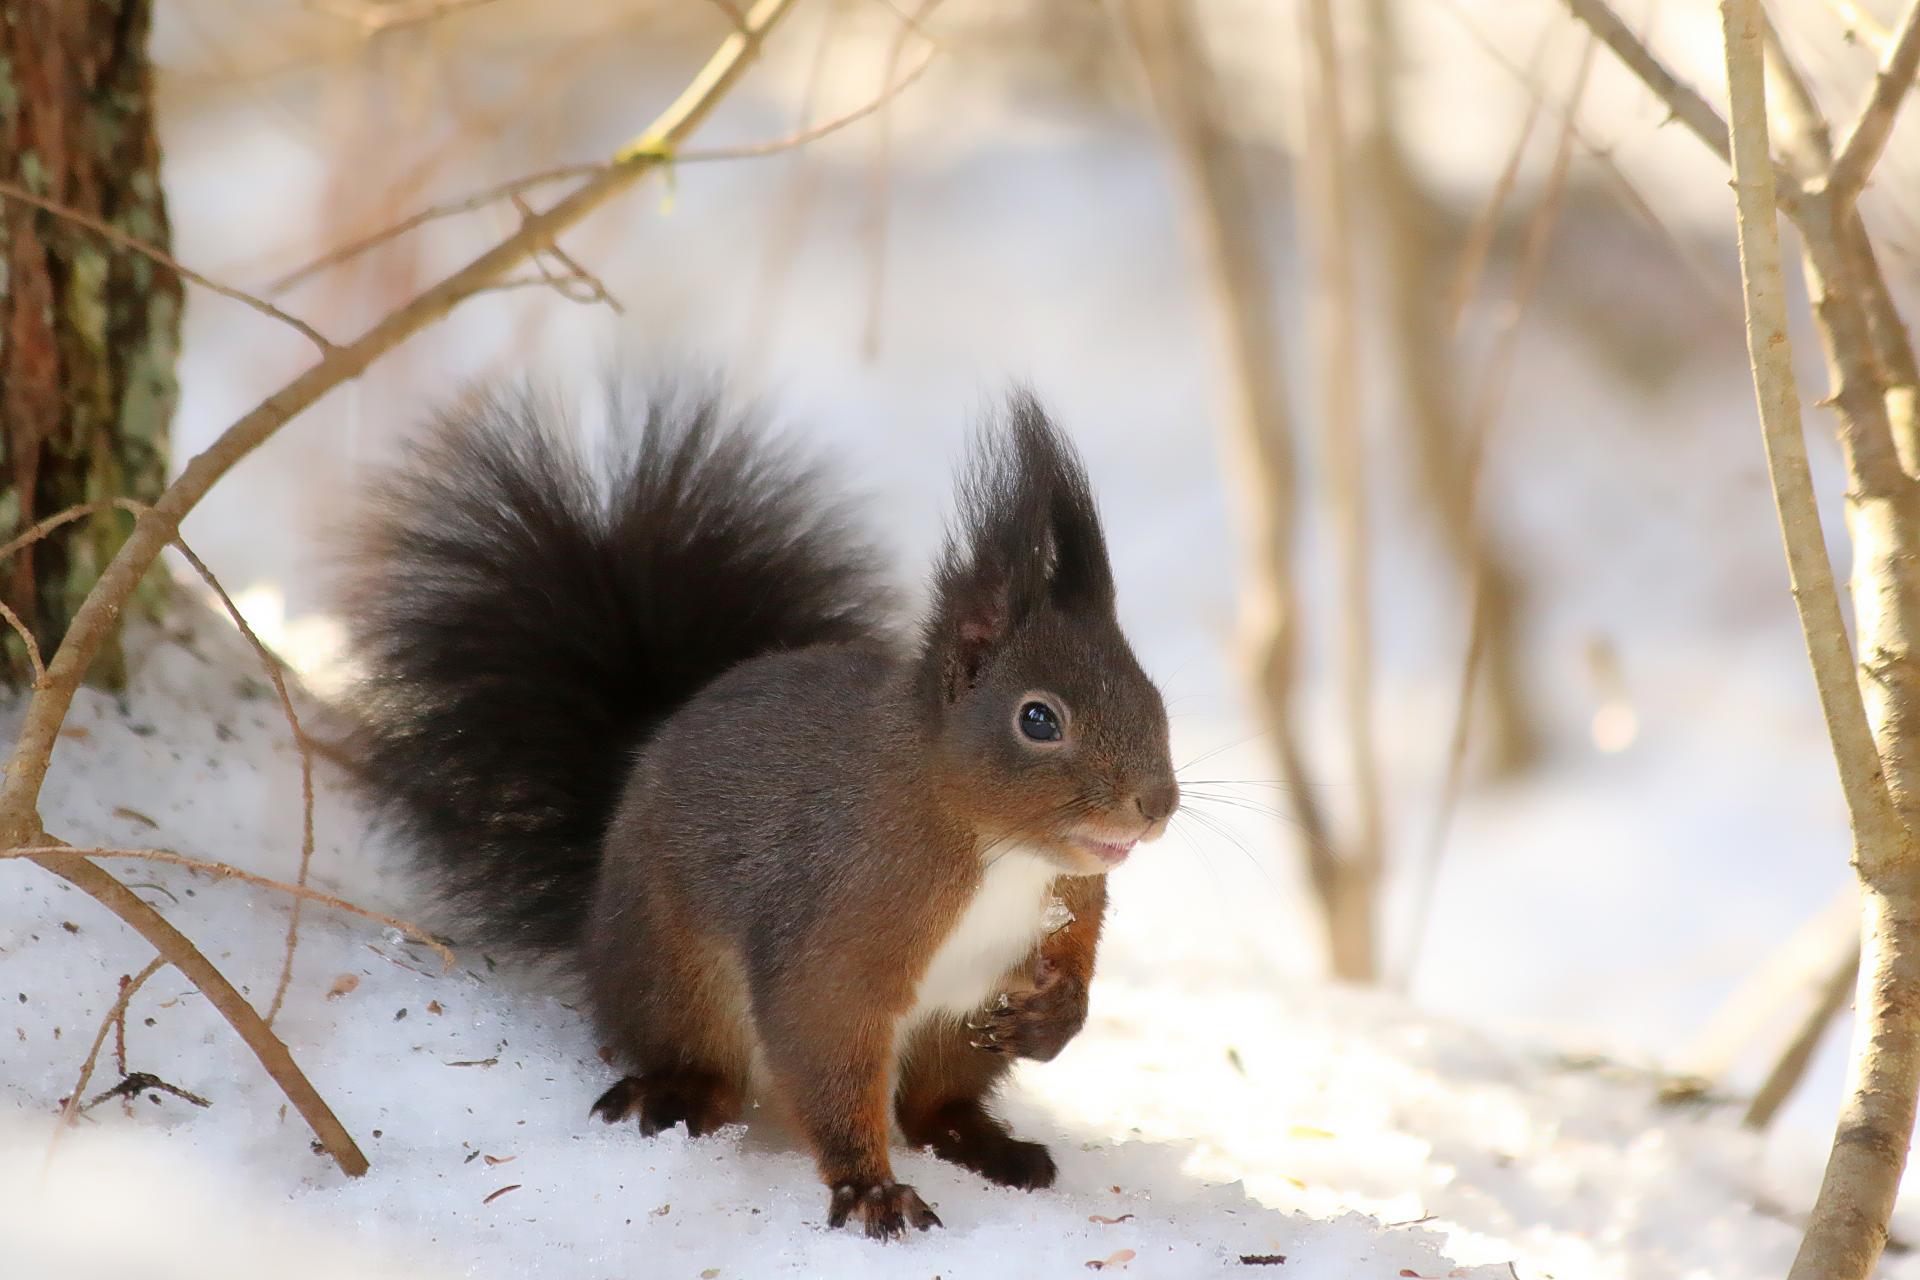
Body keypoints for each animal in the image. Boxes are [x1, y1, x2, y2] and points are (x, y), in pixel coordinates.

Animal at [342, 382, 1178, 1240]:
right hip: (679, 978)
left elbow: (1077, 954)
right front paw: (869, 1188)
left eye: (1154, 698)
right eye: (1038, 719)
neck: (998, 850)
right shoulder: (845, 918)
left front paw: (1054, 1017)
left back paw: (990, 1144)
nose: (1156, 806)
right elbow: (820, 1034)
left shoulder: (1072, 895)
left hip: (953, 1036)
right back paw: (676, 1095)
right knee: (711, 1060)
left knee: (931, 1106)